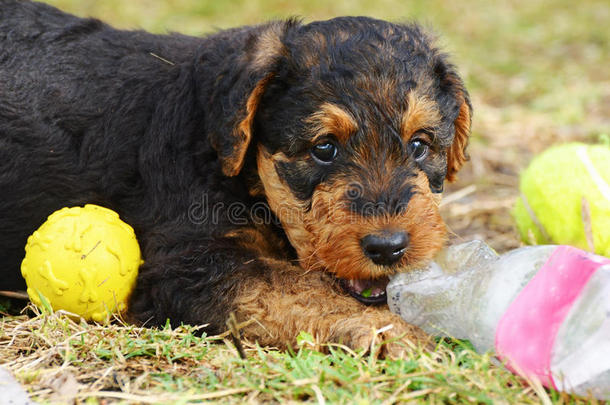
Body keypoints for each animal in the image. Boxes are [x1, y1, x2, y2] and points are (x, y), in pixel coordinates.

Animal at [0, 0, 470, 354]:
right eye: (324, 148)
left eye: (419, 144)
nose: (388, 247)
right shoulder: (190, 265)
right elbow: (305, 291)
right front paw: (401, 336)